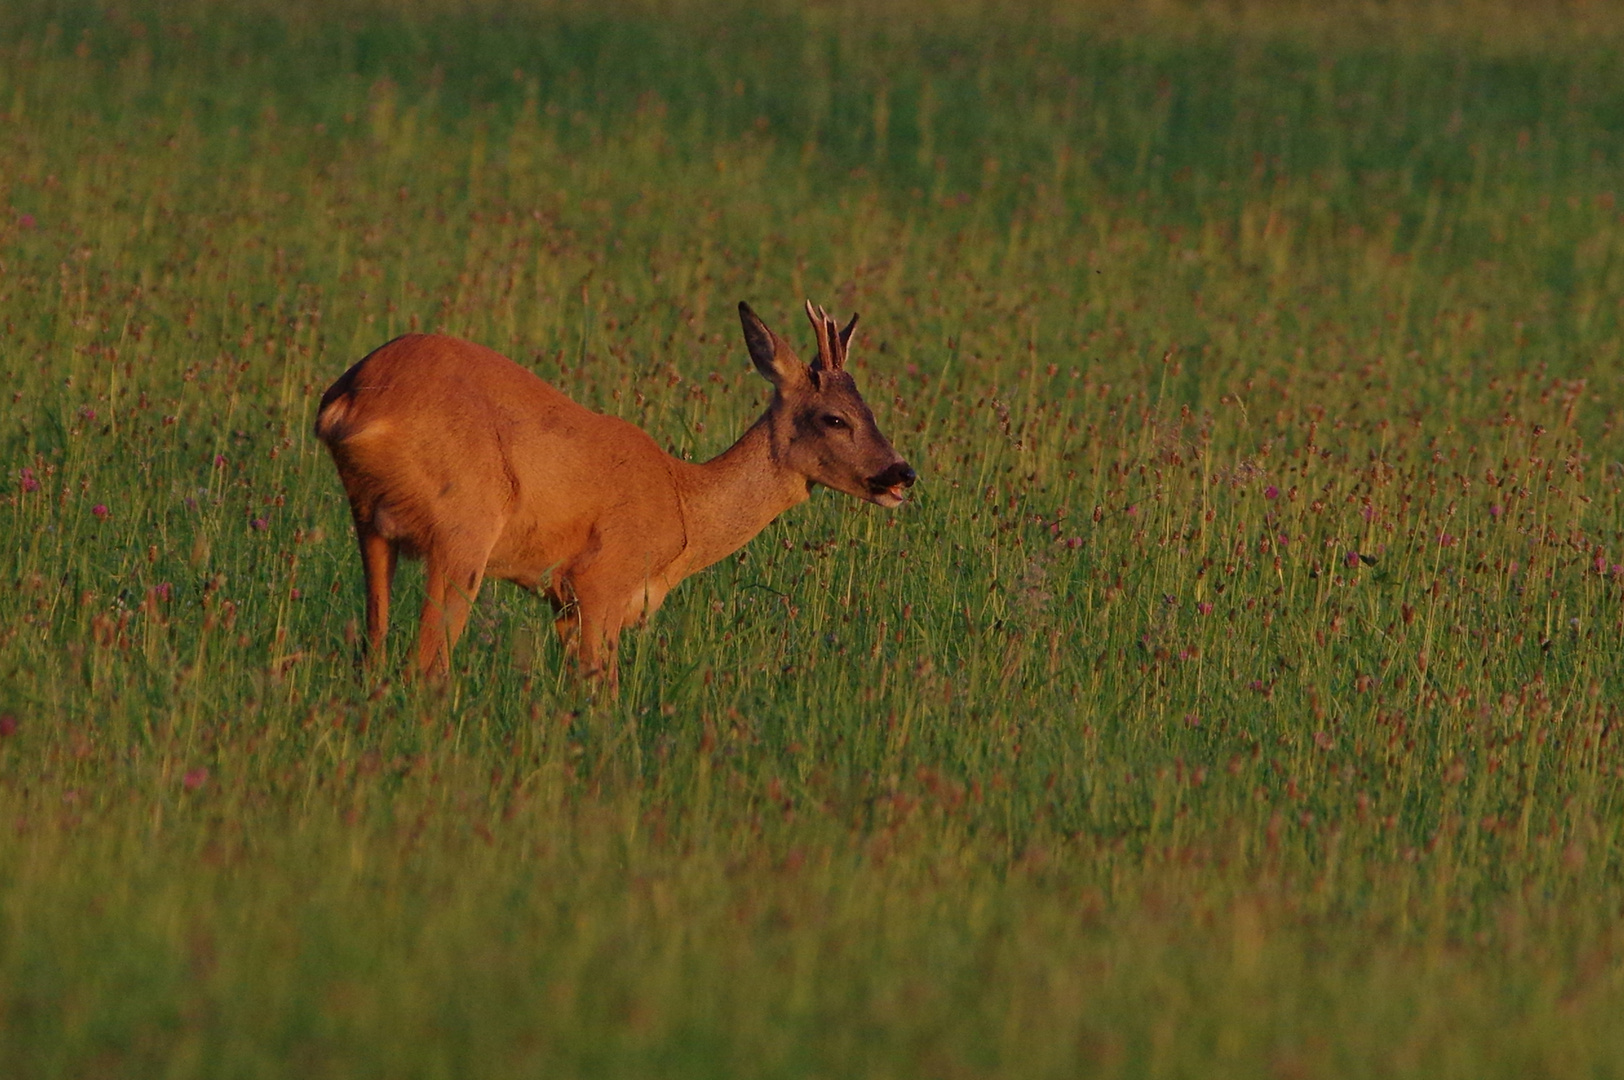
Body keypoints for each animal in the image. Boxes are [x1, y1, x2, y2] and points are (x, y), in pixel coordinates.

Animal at [313, 298, 915, 685]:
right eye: (835, 418)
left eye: (870, 409)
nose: (902, 474)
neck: (684, 504)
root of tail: (351, 402)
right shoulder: (599, 579)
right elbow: (599, 689)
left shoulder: (563, 602)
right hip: (463, 527)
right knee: (427, 664)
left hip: (370, 522)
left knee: (373, 647)